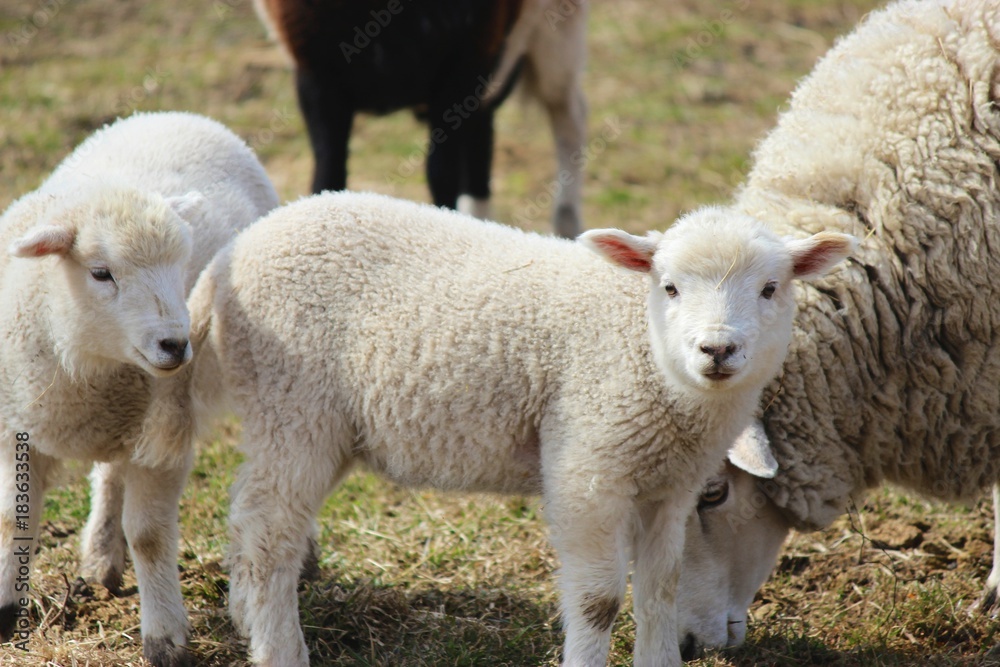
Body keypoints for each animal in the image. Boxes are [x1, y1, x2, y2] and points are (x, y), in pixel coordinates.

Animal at [0, 111, 278, 667]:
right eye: (101, 273)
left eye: (182, 267)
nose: (177, 344)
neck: (89, 364)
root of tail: (172, 114)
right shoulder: (15, 425)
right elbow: (12, 518)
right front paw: (2, 606)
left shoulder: (162, 435)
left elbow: (149, 536)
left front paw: (164, 635)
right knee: (110, 475)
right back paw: (102, 556)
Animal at [141, 190, 856, 664]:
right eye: (671, 288)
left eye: (770, 289)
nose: (717, 350)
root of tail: (228, 259)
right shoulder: (589, 465)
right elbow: (599, 601)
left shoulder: (668, 485)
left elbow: (660, 588)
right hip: (295, 404)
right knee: (270, 536)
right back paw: (280, 650)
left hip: (305, 419)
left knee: (249, 517)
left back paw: (246, 617)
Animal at [254, 0, 588, 237]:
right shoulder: (315, 74)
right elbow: (328, 176)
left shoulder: (463, 65)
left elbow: (440, 174)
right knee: (483, 129)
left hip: (554, 32)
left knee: (569, 118)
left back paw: (566, 222)